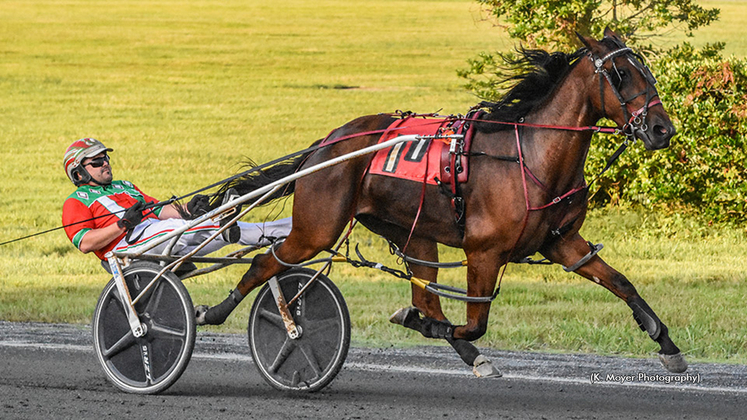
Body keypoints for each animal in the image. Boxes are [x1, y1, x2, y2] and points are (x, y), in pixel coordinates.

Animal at [196, 30, 688, 378]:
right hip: (316, 227)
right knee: (265, 262)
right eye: (621, 75)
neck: (531, 155)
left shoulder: (561, 242)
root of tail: (326, 144)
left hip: (413, 235)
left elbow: (620, 282)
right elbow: (474, 321)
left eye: (647, 71)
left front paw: (666, 344)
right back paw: (213, 311)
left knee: (425, 293)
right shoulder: (483, 251)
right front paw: (434, 328)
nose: (662, 129)